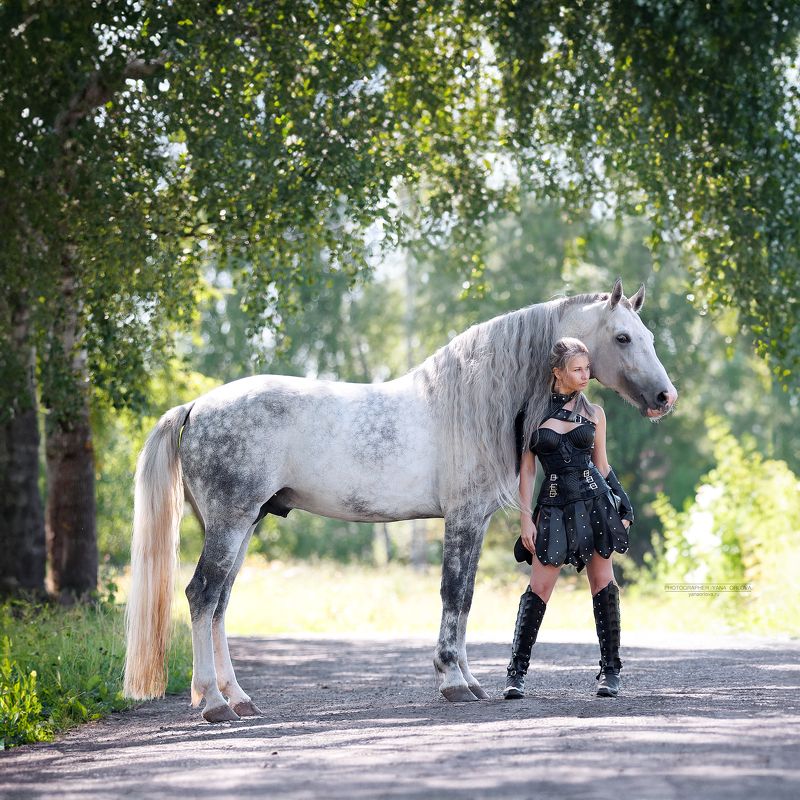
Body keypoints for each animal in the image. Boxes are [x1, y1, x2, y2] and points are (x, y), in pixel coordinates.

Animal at [123, 278, 677, 722]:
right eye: (623, 337)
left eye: (648, 337)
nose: (665, 398)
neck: (473, 401)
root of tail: (196, 405)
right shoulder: (462, 519)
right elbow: (453, 596)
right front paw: (453, 683)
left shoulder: (473, 521)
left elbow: (466, 599)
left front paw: (470, 681)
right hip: (231, 523)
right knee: (201, 596)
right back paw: (214, 704)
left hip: (244, 525)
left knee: (219, 604)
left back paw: (238, 699)